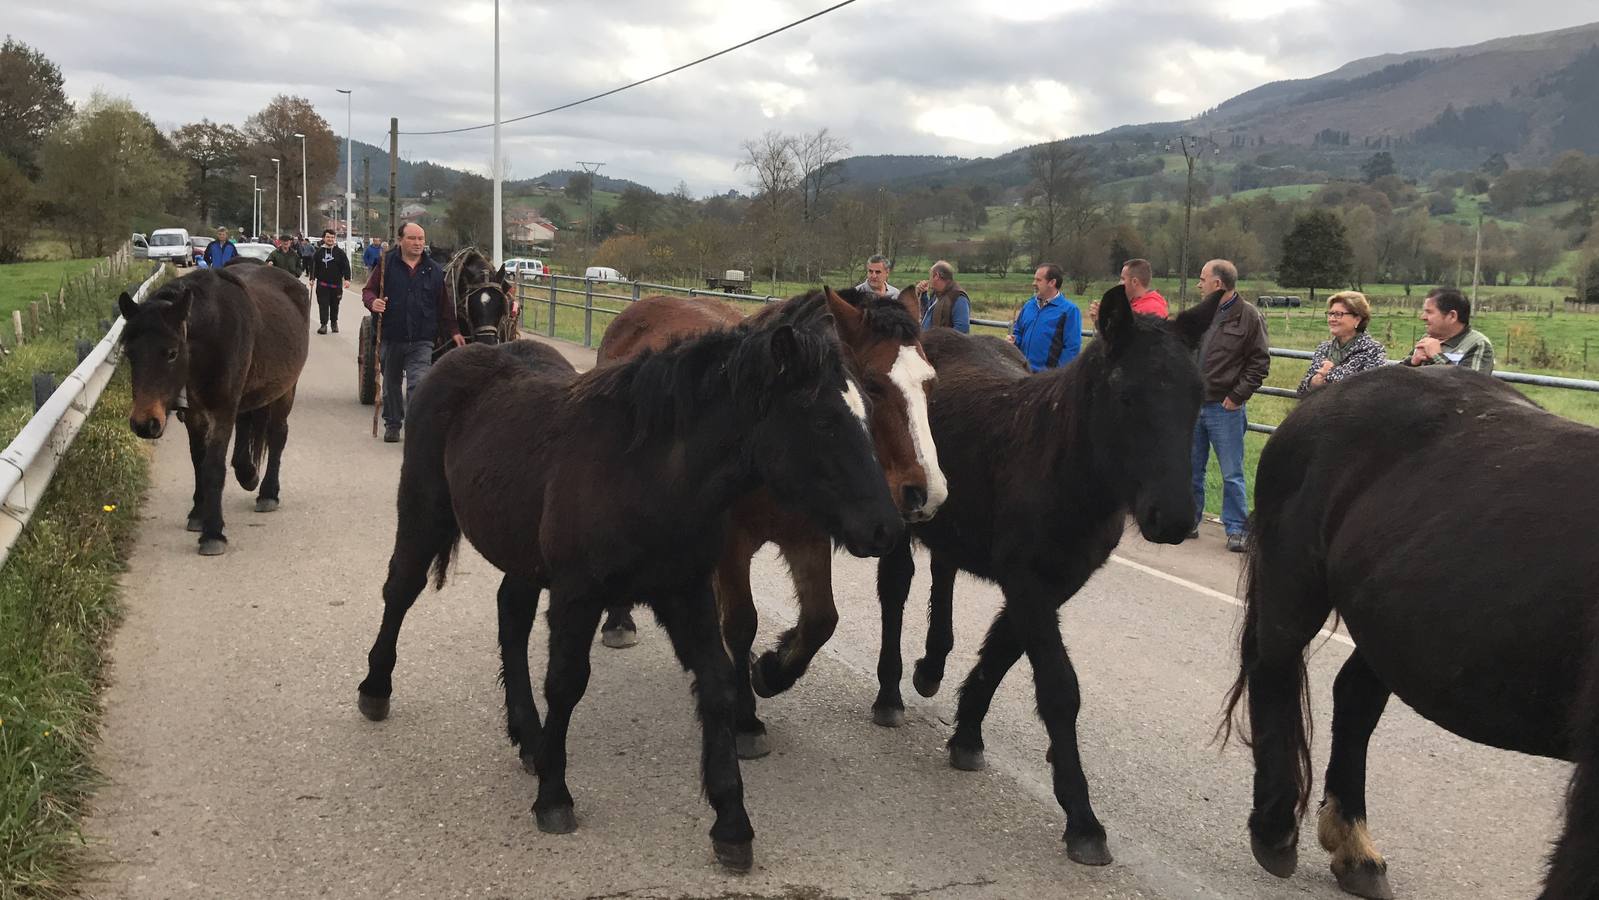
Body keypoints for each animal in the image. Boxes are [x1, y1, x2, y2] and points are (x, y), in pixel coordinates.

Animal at [119, 263, 310, 553]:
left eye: (172, 353)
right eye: (130, 353)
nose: (144, 423)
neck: (212, 334)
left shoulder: (222, 411)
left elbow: (214, 467)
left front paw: (213, 533)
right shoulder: (195, 414)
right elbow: (199, 460)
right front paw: (199, 513)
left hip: (285, 390)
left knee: (277, 435)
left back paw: (267, 493)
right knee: (246, 427)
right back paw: (247, 473)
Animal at [358, 311, 908, 876]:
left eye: (866, 412)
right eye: (823, 422)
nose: (886, 529)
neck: (647, 476)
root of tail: (462, 355)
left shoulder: (687, 593)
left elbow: (716, 686)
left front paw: (732, 821)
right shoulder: (577, 596)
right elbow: (566, 684)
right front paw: (554, 797)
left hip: (522, 555)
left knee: (510, 616)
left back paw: (529, 738)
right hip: (424, 510)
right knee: (401, 589)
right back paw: (376, 689)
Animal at [598, 289, 946, 760]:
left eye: (929, 383)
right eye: (873, 386)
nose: (926, 493)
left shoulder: (807, 537)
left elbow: (821, 620)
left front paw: (771, 670)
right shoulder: (732, 544)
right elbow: (742, 622)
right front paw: (746, 718)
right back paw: (620, 622)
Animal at [869, 287, 1215, 863]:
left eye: (1198, 398)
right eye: (1126, 396)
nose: (1174, 519)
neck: (1065, 466)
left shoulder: (1052, 584)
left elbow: (1001, 653)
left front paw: (967, 732)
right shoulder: (1029, 584)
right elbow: (1058, 689)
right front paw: (1083, 819)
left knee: (943, 570)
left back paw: (932, 665)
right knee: (896, 591)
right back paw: (890, 693)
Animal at [1221, 366, 1599, 900]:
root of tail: (1329, 394)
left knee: (1353, 697)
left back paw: (1354, 846)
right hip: (1293, 584)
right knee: (1272, 669)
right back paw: (1275, 829)